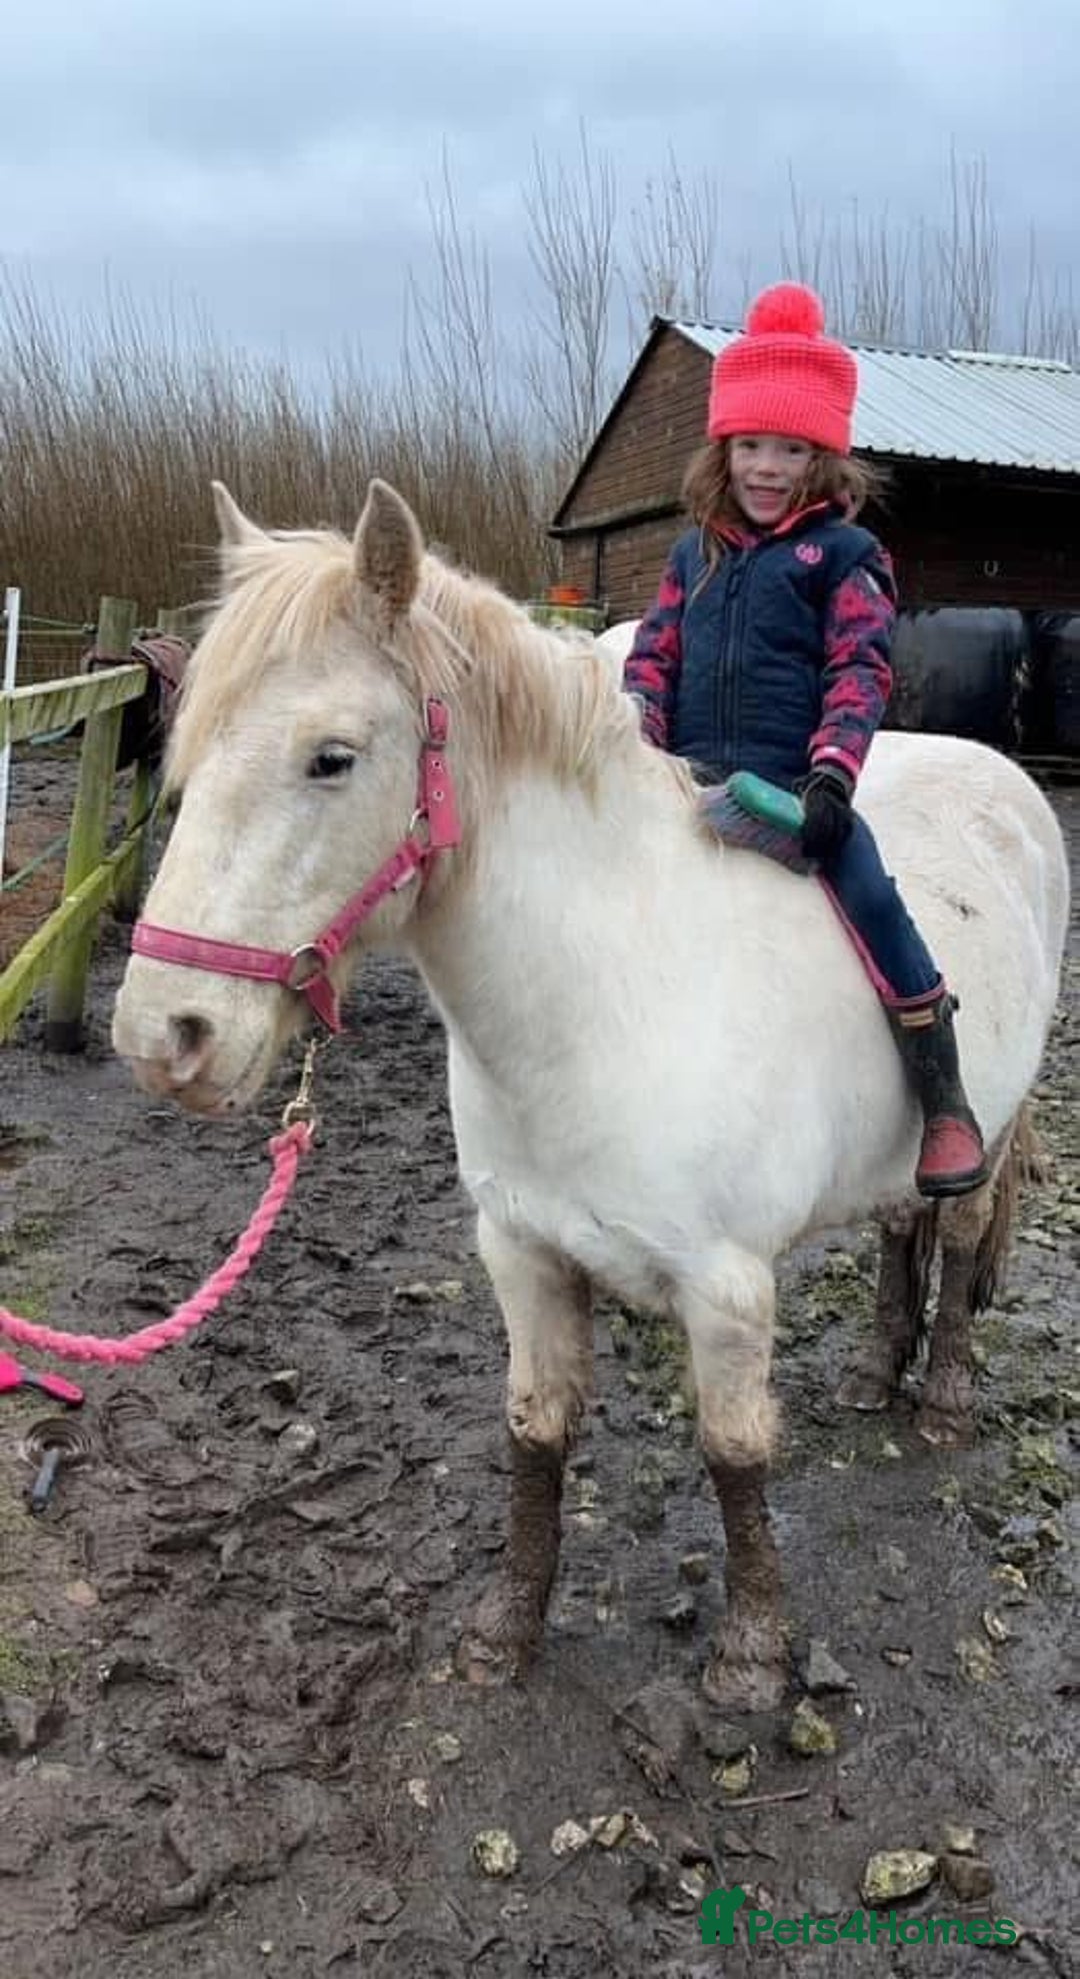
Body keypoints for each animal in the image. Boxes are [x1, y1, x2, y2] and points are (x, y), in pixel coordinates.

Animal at [111, 480, 1069, 1711]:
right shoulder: (522, 1254)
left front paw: (752, 1654)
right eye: (185, 741)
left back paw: (941, 1395)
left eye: (331, 757)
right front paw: (504, 1628)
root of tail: (1004, 777)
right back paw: (871, 1374)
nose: (162, 1036)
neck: (609, 998)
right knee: (901, 1227)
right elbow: (535, 1434)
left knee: (953, 1230)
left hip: (980, 1135)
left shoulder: (727, 1288)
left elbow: (736, 1454)